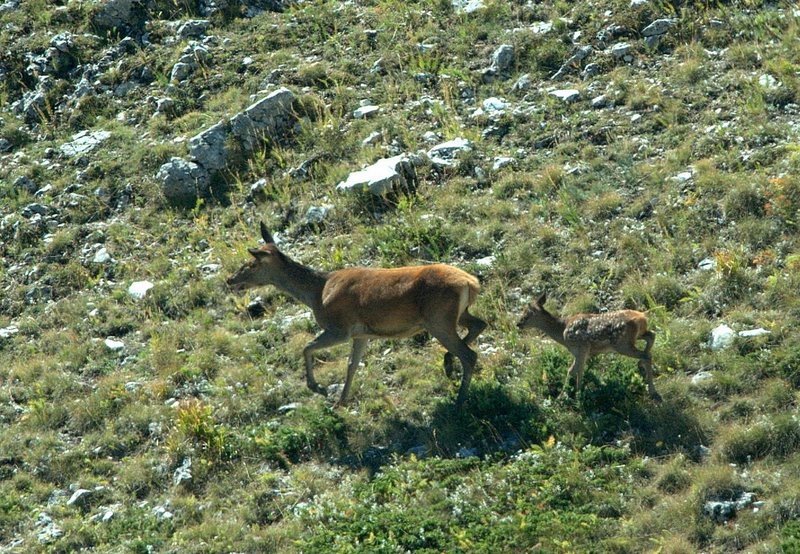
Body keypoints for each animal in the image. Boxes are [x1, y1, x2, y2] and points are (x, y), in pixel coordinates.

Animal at [226, 222, 487, 408]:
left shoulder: (340, 328)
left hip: (438, 319)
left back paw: (460, 399)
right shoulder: (362, 334)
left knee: (469, 354)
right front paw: (341, 402)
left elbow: (307, 347)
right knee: (479, 325)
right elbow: (352, 365)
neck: (317, 292)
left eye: (251, 264)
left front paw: (318, 388)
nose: (230, 280)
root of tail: (470, 283)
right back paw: (448, 364)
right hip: (456, 315)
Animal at [517, 293, 661, 402]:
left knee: (647, 354)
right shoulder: (581, 352)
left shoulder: (581, 348)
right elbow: (577, 370)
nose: (518, 323)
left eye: (527, 314)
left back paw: (653, 391)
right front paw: (576, 393)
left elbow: (572, 370)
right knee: (651, 336)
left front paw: (569, 395)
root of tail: (642, 316)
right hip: (636, 336)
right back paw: (642, 368)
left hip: (622, 344)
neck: (562, 331)